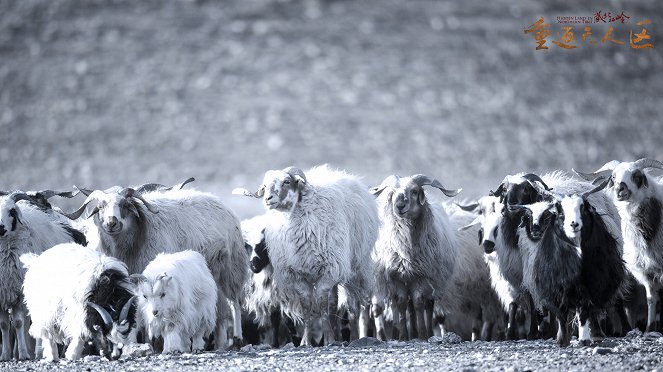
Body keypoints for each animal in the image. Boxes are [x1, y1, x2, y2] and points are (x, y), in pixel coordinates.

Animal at [0, 192, 87, 360]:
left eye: (12, 211)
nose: (0, 228)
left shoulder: (19, 292)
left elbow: (18, 323)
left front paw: (23, 354)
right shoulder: (2, 294)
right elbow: (4, 325)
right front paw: (5, 355)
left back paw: (40, 352)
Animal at [67, 185, 249, 350]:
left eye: (125, 205)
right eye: (100, 206)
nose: (111, 223)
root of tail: (219, 201)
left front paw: (152, 342)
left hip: (231, 268)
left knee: (234, 303)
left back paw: (237, 339)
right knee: (218, 307)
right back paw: (219, 343)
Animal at [233, 166, 378, 346]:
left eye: (286, 182)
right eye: (265, 186)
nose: (268, 199)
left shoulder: (328, 270)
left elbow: (322, 306)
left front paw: (329, 339)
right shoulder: (297, 275)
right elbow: (307, 306)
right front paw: (306, 341)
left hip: (353, 268)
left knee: (351, 306)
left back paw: (354, 337)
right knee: (334, 303)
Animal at [370, 174, 464, 340]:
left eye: (414, 191)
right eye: (392, 192)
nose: (399, 205)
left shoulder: (421, 276)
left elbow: (419, 303)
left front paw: (422, 335)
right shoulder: (397, 276)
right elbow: (401, 304)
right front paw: (402, 336)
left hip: (432, 280)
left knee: (427, 305)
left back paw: (424, 332)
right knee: (403, 305)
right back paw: (402, 333)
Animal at [572, 157, 663, 332]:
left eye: (636, 175)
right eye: (613, 177)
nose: (620, 190)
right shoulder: (646, 270)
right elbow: (651, 299)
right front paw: (650, 329)